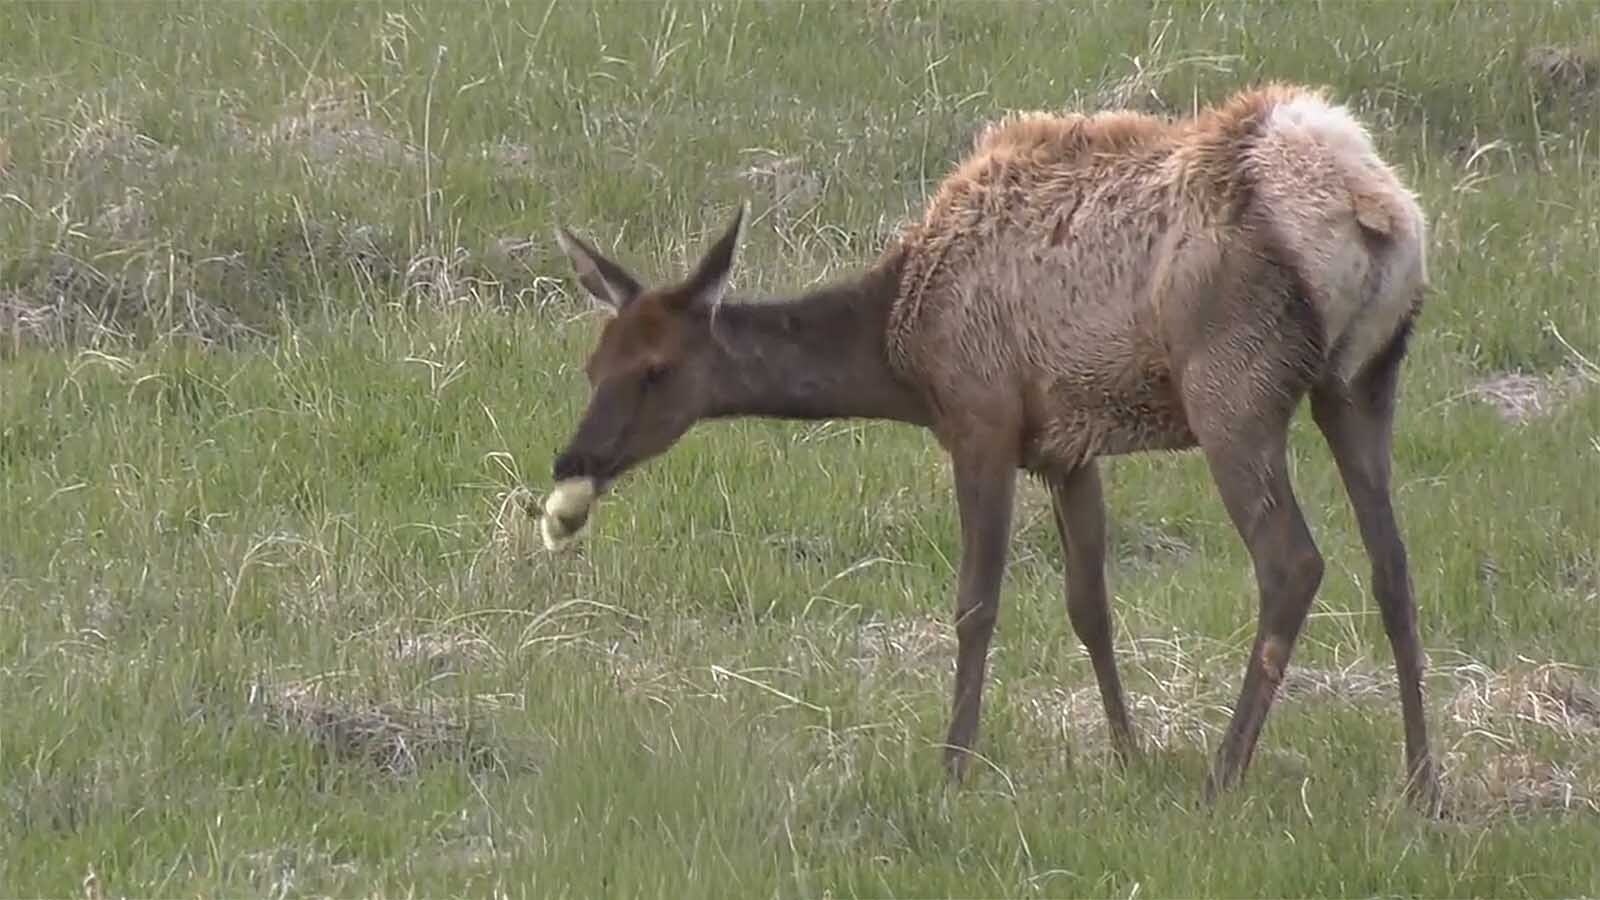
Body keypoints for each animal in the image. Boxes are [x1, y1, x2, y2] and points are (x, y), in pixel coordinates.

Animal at [544, 82, 1441, 811]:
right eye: (593, 363)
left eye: (656, 370)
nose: (573, 461)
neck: (902, 351)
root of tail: (1371, 210)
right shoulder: (1068, 444)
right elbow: (1090, 605)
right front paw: (1127, 756)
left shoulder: (982, 418)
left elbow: (976, 603)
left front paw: (953, 768)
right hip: (1362, 382)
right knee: (1393, 567)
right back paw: (1422, 784)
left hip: (1233, 388)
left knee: (1293, 562)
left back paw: (1224, 777)